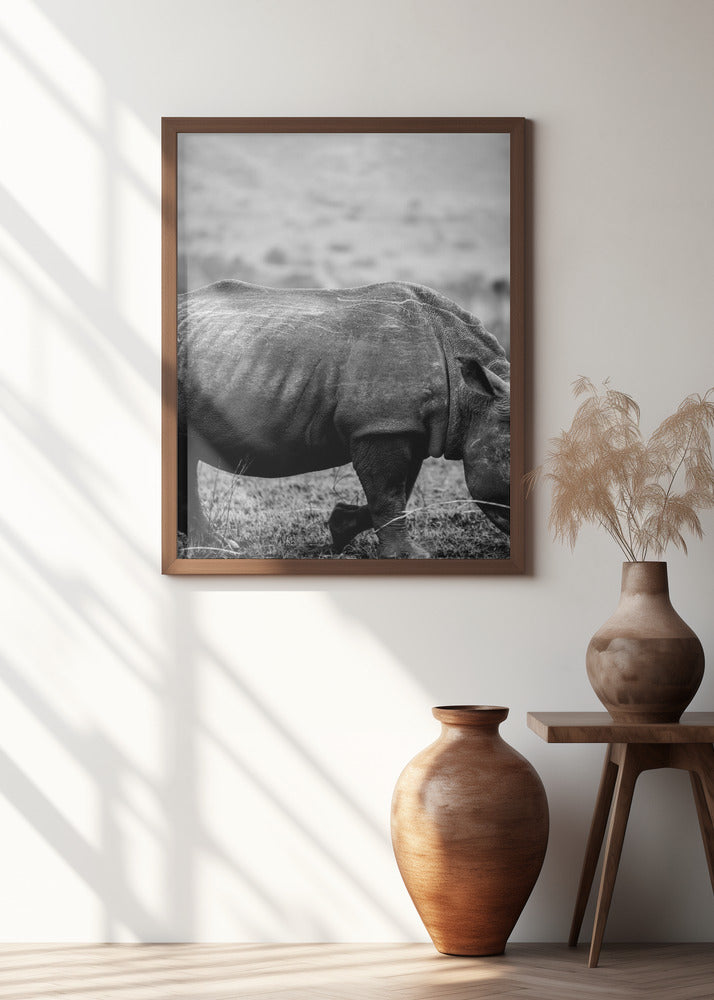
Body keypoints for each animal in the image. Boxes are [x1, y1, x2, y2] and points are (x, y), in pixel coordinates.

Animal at [177, 280, 510, 558]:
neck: (471, 396)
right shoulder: (379, 425)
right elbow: (388, 492)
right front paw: (409, 557)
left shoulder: (404, 426)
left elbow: (400, 489)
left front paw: (341, 527)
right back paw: (212, 546)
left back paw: (210, 544)